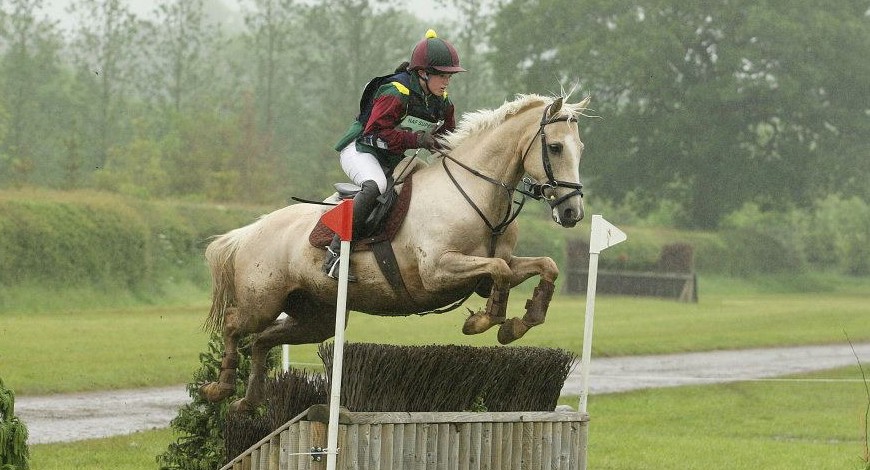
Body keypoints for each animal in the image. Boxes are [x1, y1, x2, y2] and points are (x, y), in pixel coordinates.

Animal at [199, 92, 592, 412]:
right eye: (556, 148)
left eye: (581, 149)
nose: (572, 213)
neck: (477, 193)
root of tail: (248, 232)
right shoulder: (437, 271)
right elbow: (500, 270)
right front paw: (483, 320)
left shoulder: (497, 262)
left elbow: (542, 266)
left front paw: (518, 323)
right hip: (262, 302)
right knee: (235, 325)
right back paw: (221, 388)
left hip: (316, 317)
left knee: (261, 341)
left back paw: (248, 402)